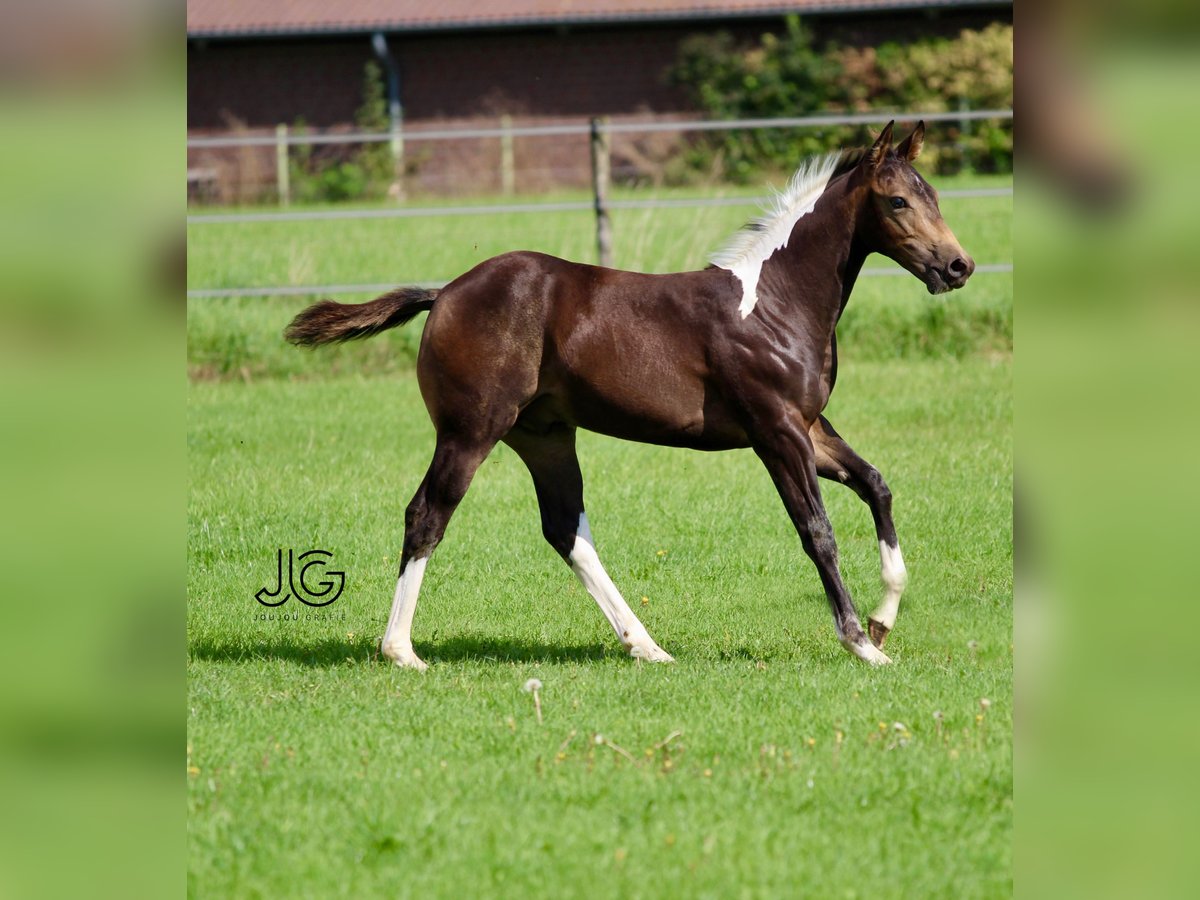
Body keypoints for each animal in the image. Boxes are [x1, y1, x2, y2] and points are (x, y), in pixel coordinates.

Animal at [285, 120, 969, 672]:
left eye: (934, 196)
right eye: (898, 201)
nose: (957, 266)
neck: (773, 304)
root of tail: (446, 292)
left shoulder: (810, 425)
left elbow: (877, 485)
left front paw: (883, 621)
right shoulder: (775, 431)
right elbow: (817, 530)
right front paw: (861, 644)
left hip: (544, 435)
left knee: (566, 529)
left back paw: (647, 645)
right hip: (470, 430)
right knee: (427, 514)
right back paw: (401, 651)